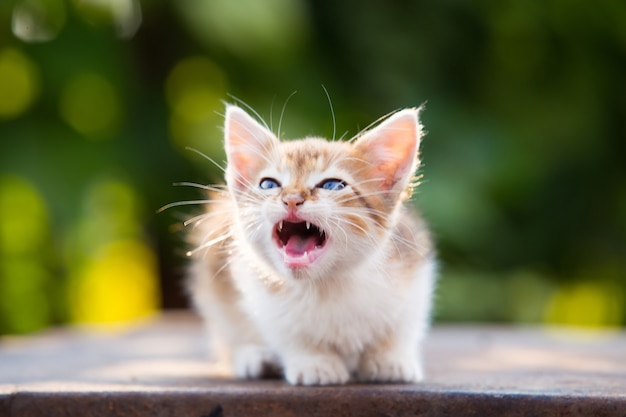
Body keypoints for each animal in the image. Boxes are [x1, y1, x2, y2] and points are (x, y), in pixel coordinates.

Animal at [188, 104, 436, 384]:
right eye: (268, 184)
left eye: (332, 185)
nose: (292, 199)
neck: (326, 284)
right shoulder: (259, 293)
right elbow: (287, 332)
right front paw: (315, 362)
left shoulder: (414, 269)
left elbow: (403, 325)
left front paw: (391, 358)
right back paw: (253, 356)